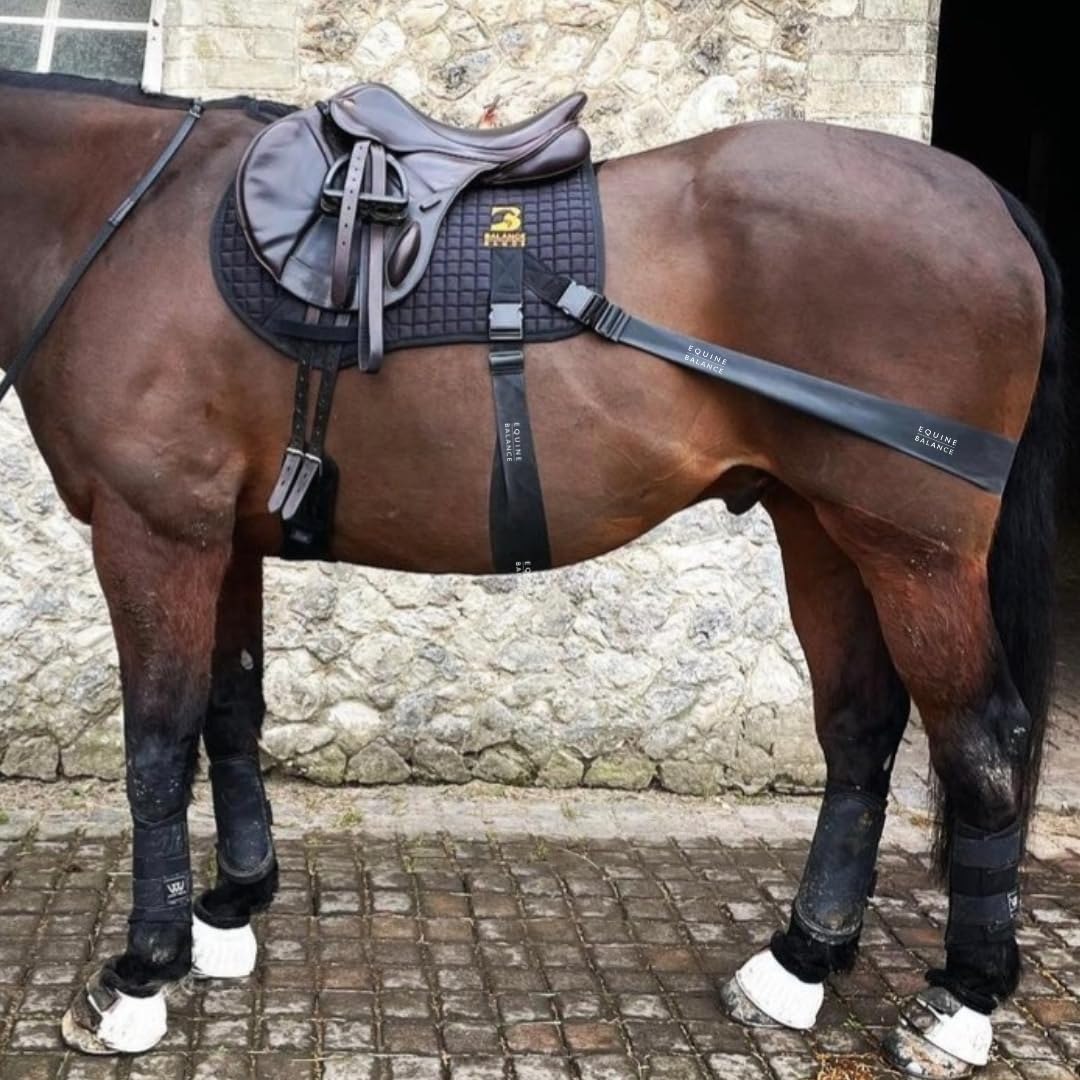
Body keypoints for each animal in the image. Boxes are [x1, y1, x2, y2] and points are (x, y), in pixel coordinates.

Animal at [0, 70, 1064, 1078]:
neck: (131, 224)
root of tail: (984, 198)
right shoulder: (219, 538)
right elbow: (227, 714)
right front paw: (229, 908)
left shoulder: (155, 531)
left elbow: (155, 748)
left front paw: (139, 973)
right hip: (824, 531)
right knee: (860, 731)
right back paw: (801, 960)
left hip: (916, 552)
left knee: (984, 743)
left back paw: (961, 1001)